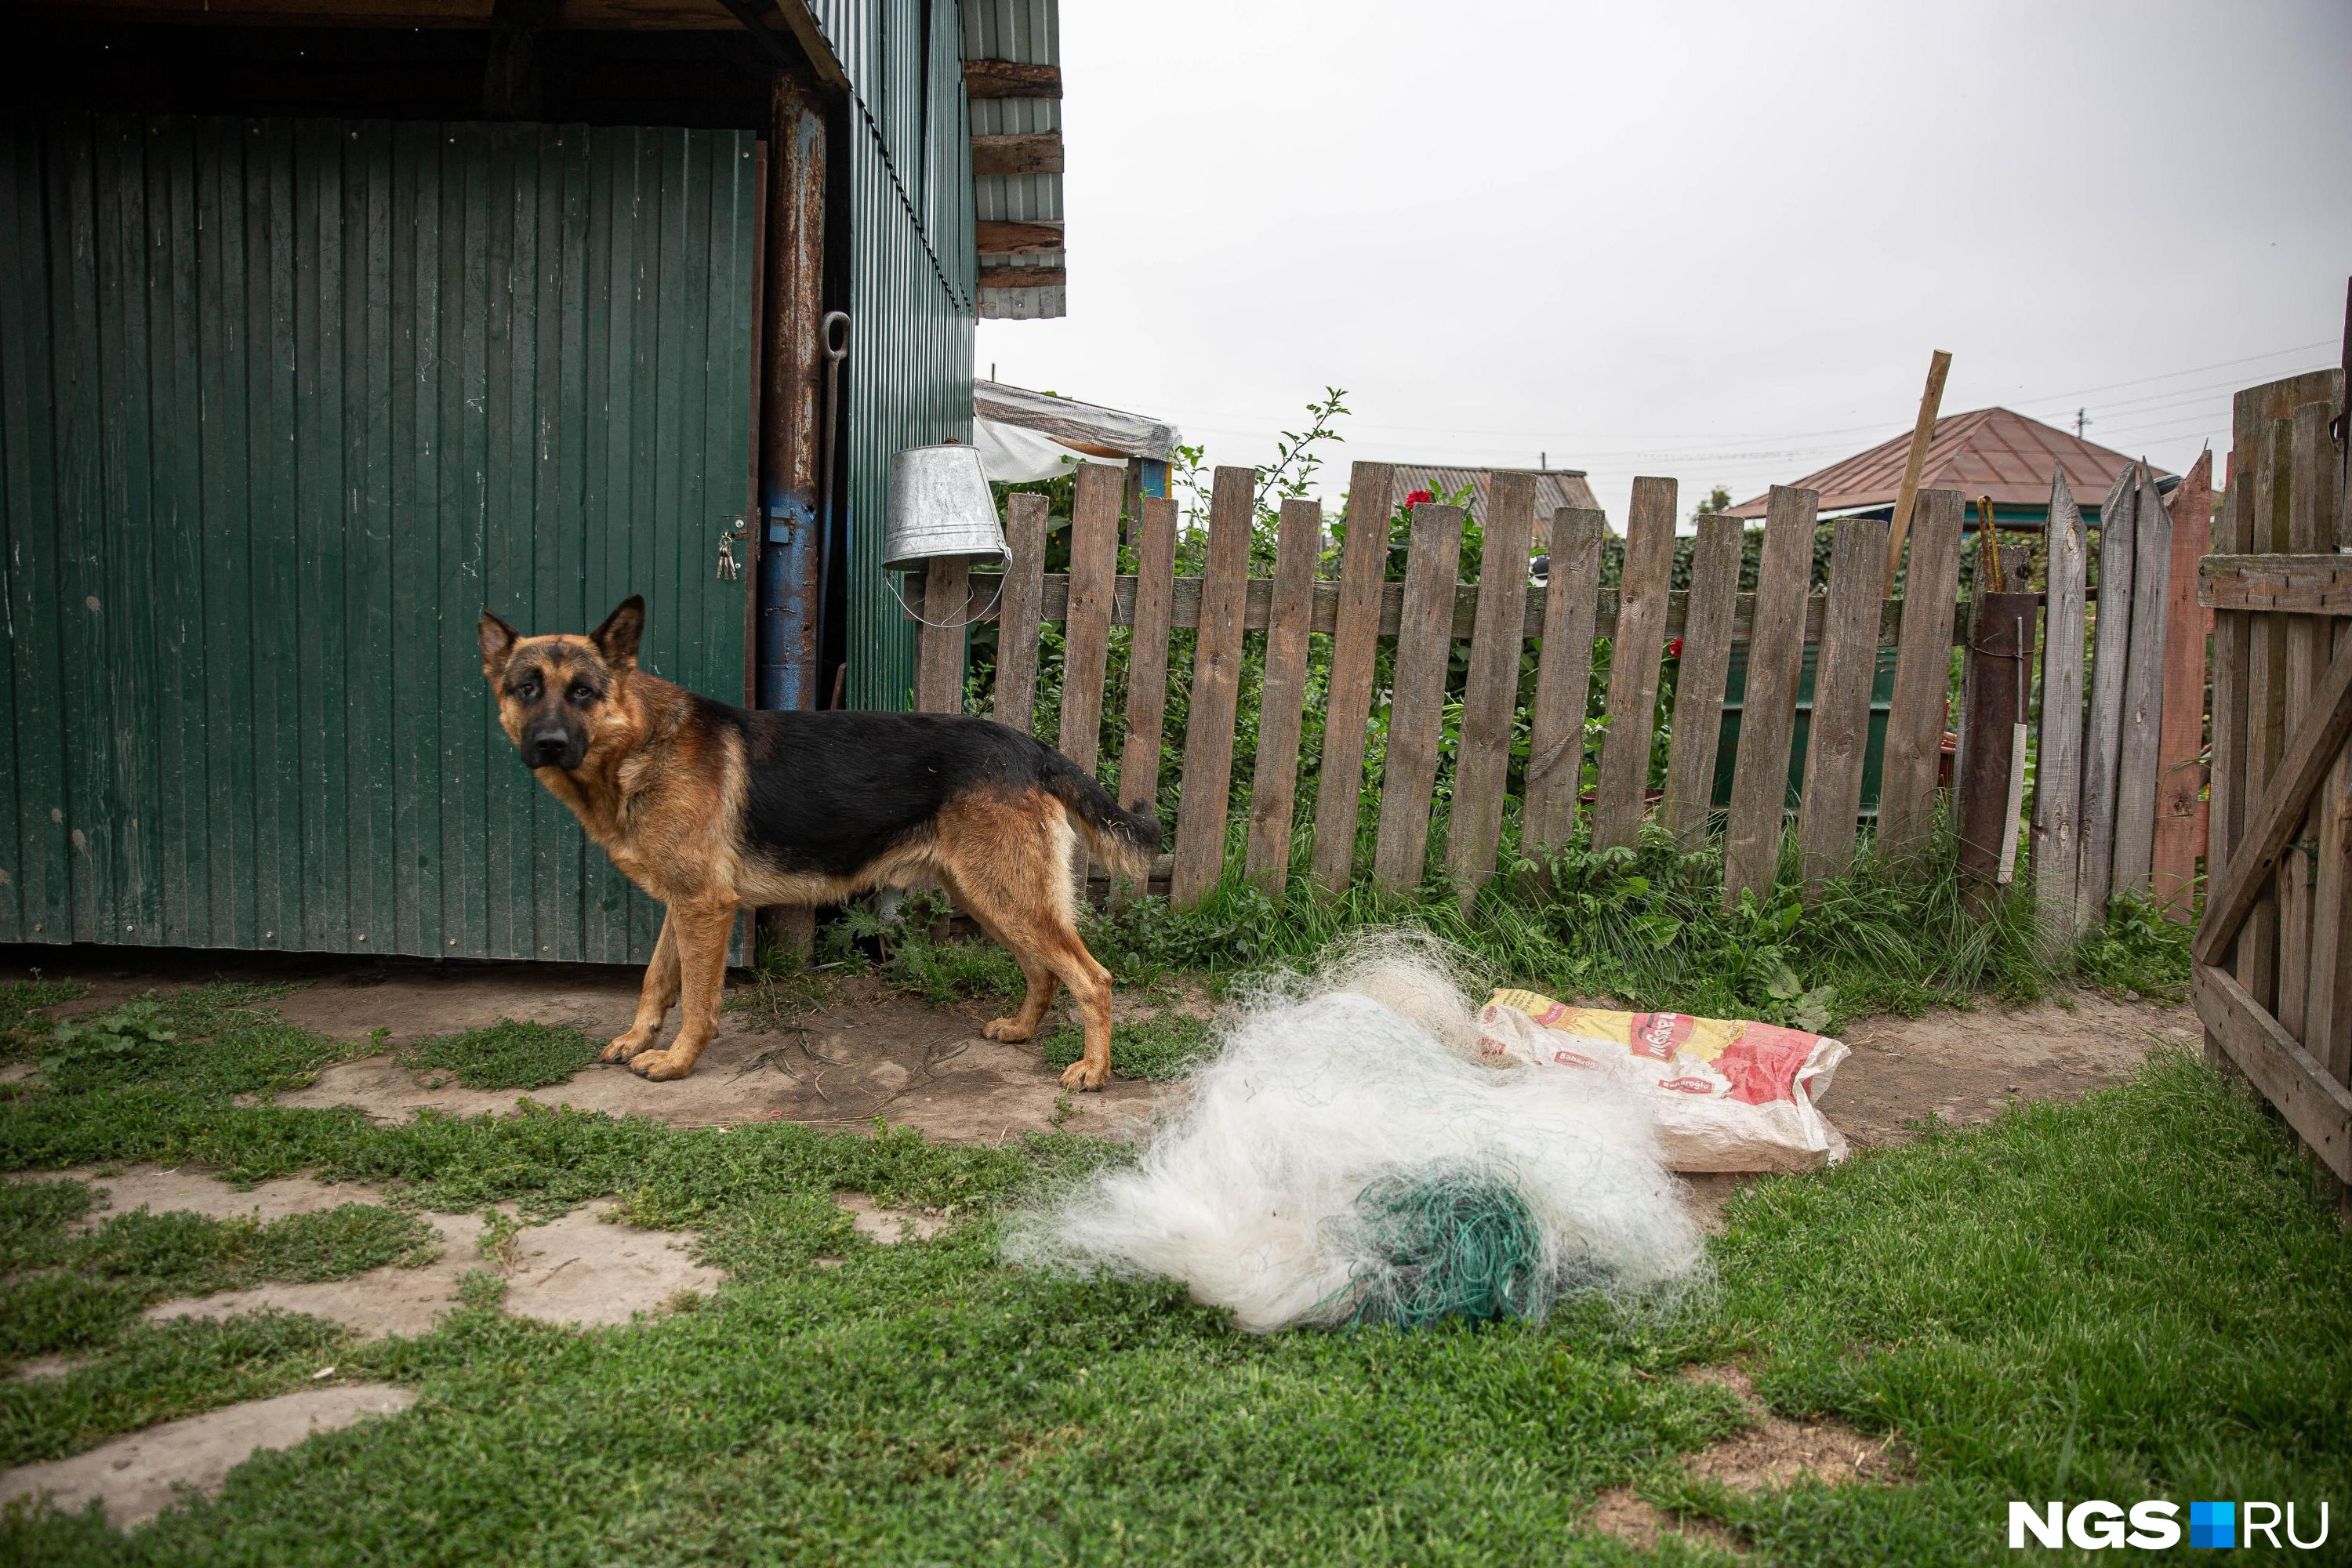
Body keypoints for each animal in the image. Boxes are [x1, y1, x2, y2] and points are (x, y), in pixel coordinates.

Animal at [475, 594, 1157, 1086]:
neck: (641, 741)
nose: (548, 745)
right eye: (526, 688)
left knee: (1092, 978)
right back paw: (1020, 1029)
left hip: (1006, 896)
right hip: (988, 897)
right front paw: (639, 1040)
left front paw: (676, 1062)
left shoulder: (706, 908)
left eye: (583, 692)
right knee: (1043, 971)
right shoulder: (683, 905)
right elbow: (655, 980)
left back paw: (1094, 1071)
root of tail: (1031, 748)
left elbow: (696, 998)